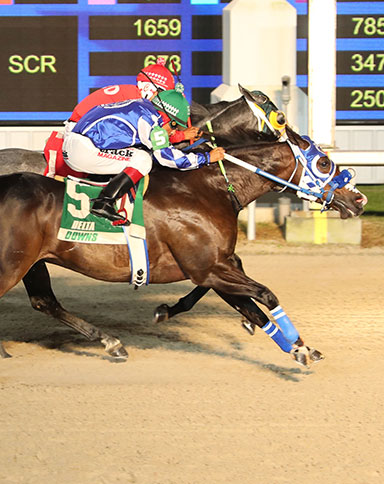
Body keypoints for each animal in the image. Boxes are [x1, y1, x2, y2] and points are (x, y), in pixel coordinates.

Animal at [0, 138, 366, 364]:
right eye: (323, 162)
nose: (359, 199)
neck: (206, 188)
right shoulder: (209, 267)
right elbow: (266, 295)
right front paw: (300, 347)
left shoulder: (216, 265)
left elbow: (250, 308)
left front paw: (301, 348)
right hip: (13, 264)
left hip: (32, 262)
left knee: (44, 301)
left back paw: (111, 343)